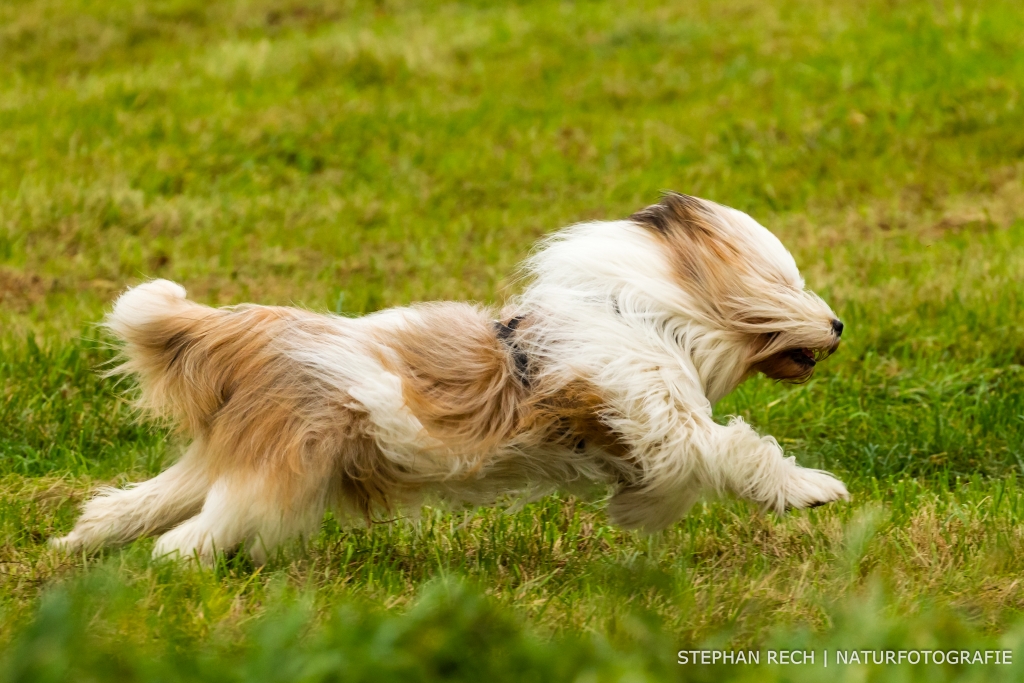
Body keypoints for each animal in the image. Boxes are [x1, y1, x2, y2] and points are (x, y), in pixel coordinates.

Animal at [49, 193, 847, 565]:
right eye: (788, 283)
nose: (839, 324)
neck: (646, 315)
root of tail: (255, 336)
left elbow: (667, 478)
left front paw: (637, 512)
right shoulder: (659, 414)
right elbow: (731, 449)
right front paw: (812, 490)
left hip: (230, 457)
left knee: (138, 505)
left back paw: (78, 546)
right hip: (279, 470)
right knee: (191, 537)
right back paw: (175, 570)